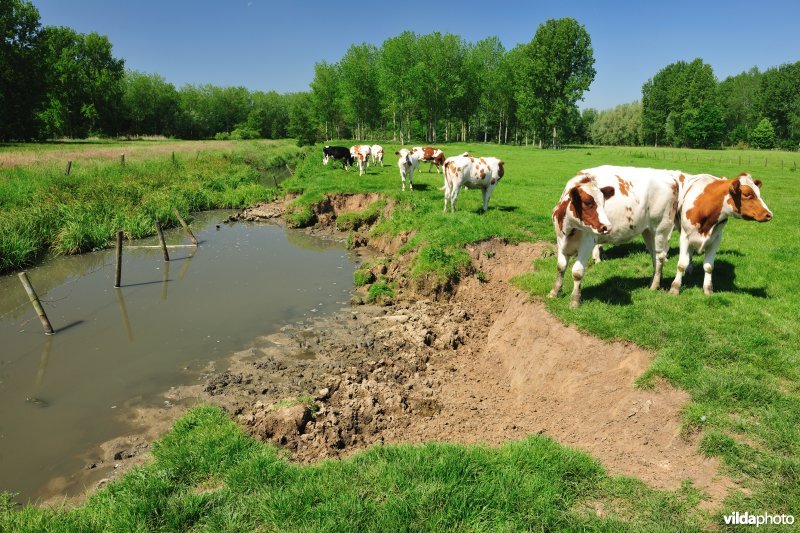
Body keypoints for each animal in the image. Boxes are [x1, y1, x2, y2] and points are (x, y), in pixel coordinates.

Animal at [552, 165, 680, 308]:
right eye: (587, 202)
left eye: (603, 203)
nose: (607, 226)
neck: (569, 229)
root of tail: (671, 178)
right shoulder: (561, 241)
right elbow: (561, 266)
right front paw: (555, 291)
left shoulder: (587, 244)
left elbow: (577, 272)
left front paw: (574, 300)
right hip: (648, 231)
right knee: (654, 256)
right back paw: (653, 282)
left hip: (661, 228)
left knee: (660, 256)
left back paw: (655, 285)